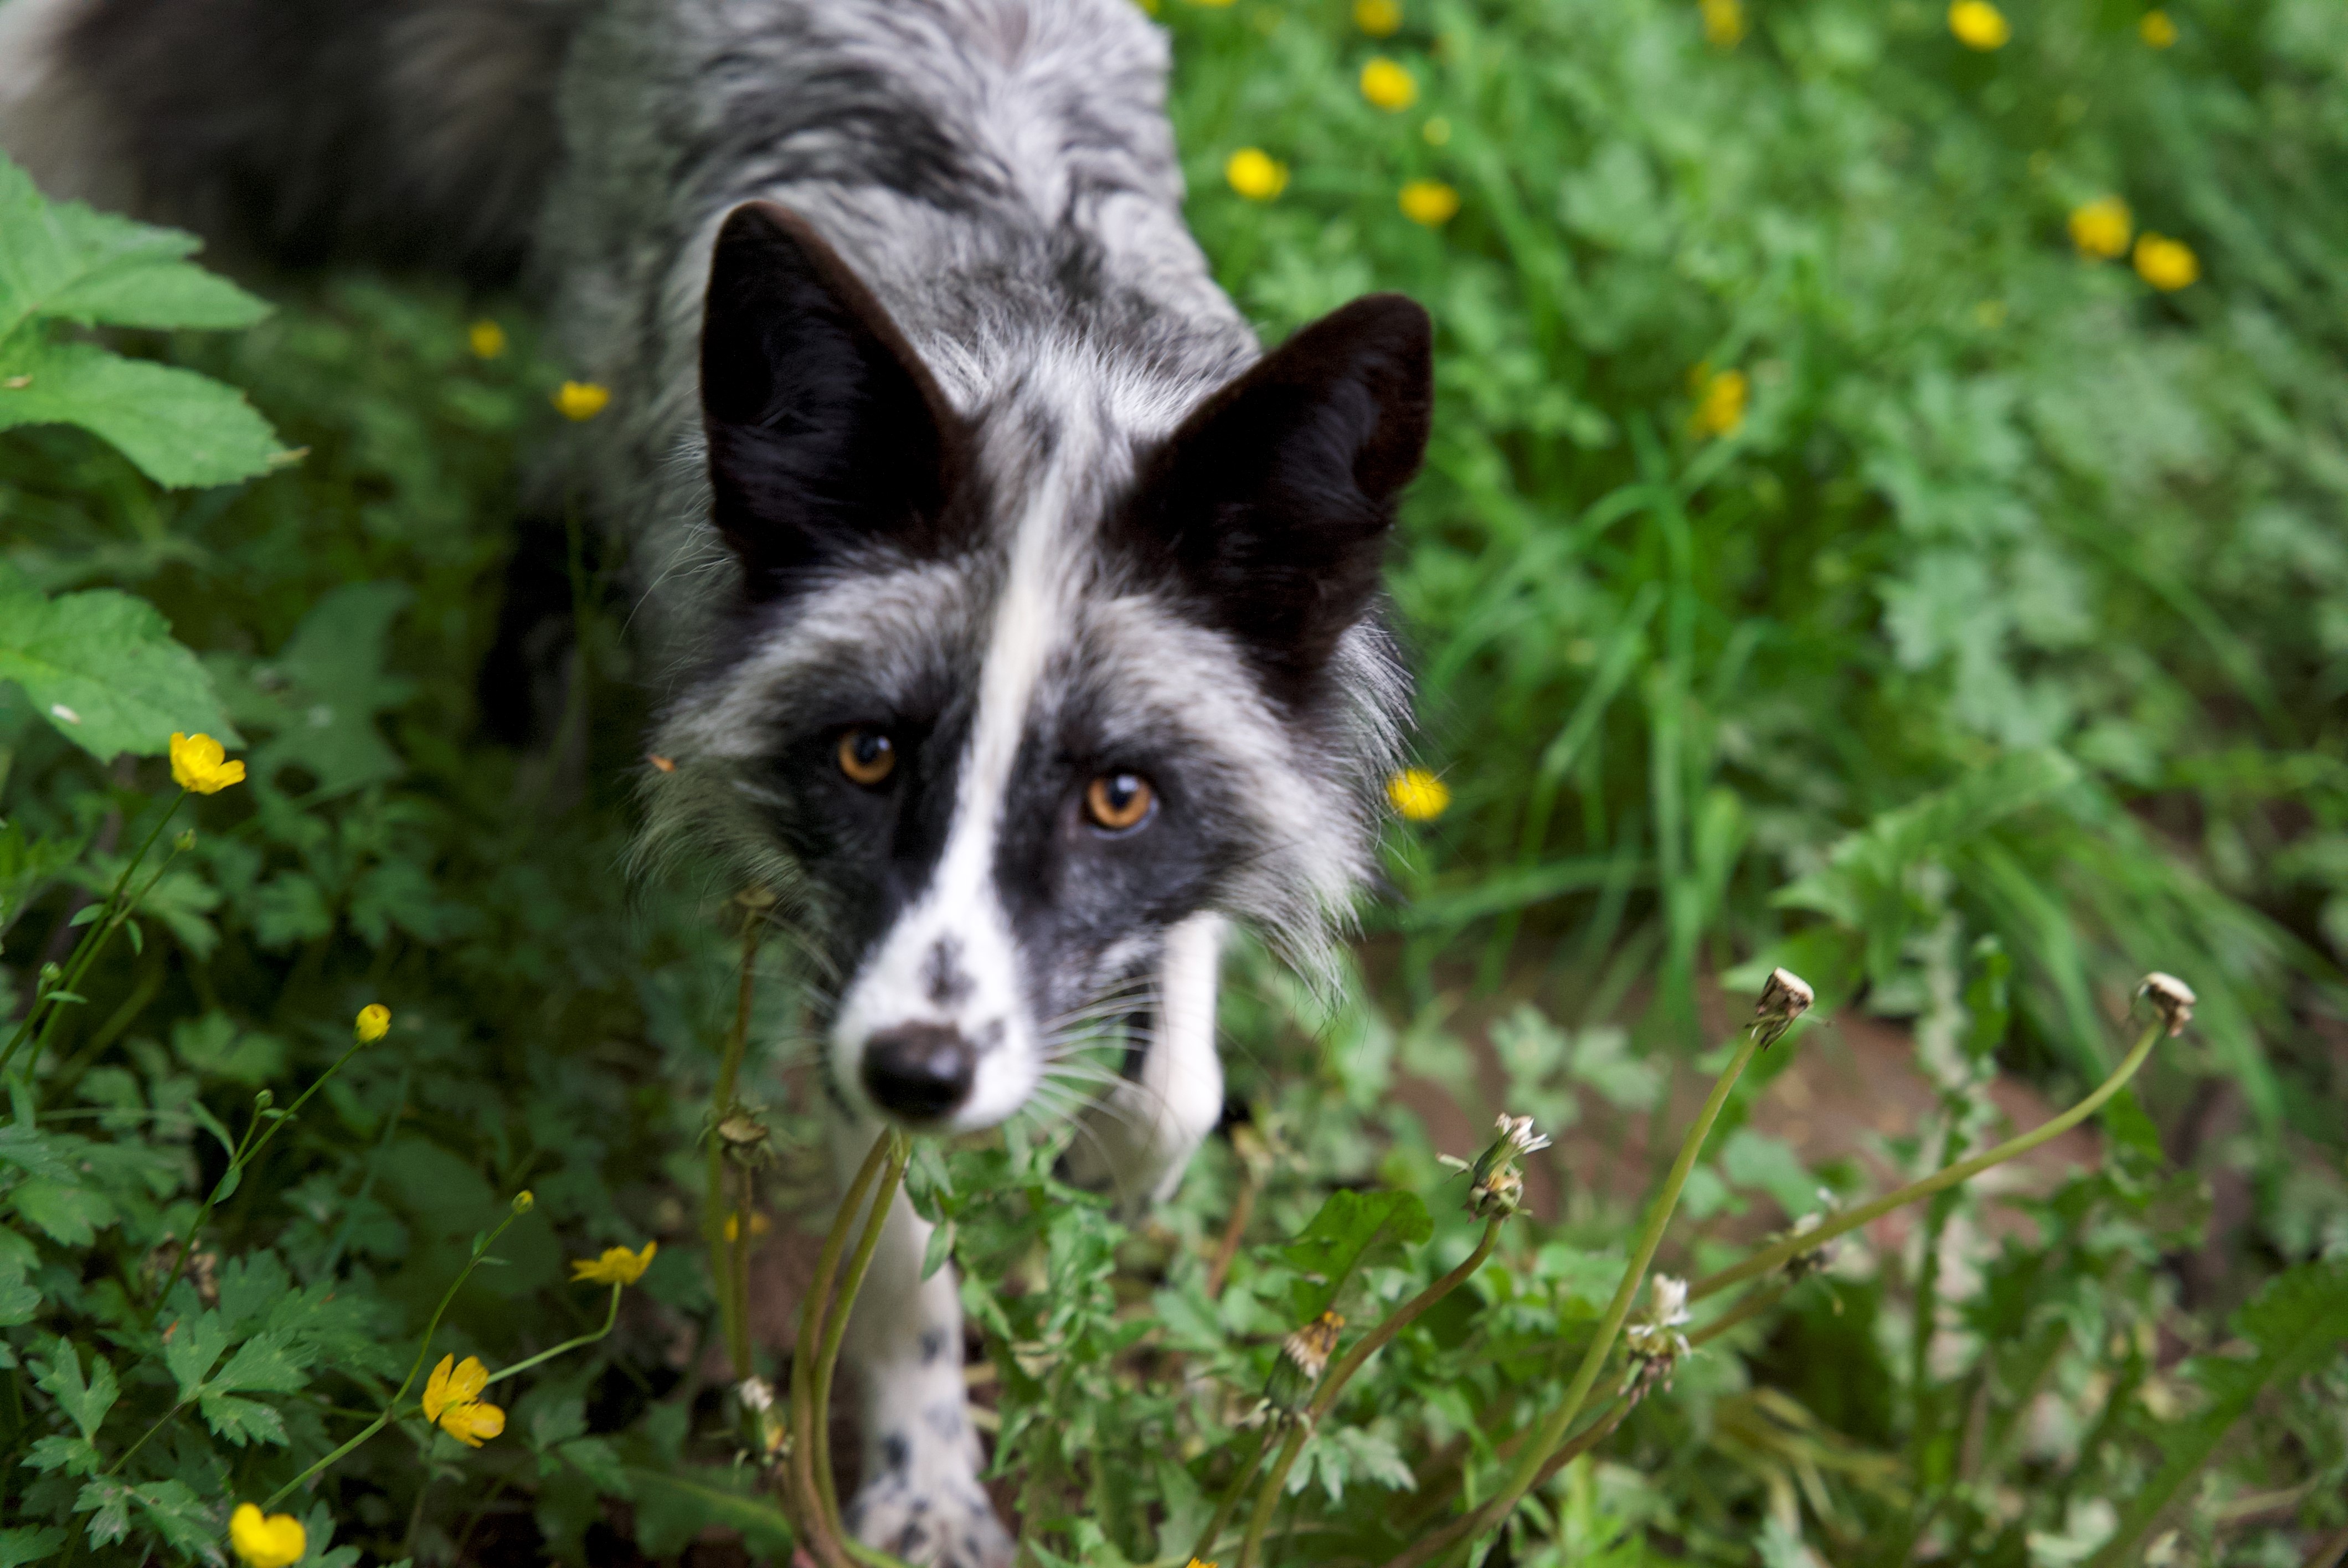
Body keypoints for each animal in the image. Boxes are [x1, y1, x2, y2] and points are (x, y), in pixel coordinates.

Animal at [4, 6, 1427, 1559]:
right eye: (868, 754)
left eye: (1116, 796)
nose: (921, 1071)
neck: (1035, 335)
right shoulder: (822, 946)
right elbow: (894, 1261)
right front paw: (924, 1482)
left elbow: (1175, 1062)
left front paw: (1117, 1145)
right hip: (595, 390)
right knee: (542, 569)